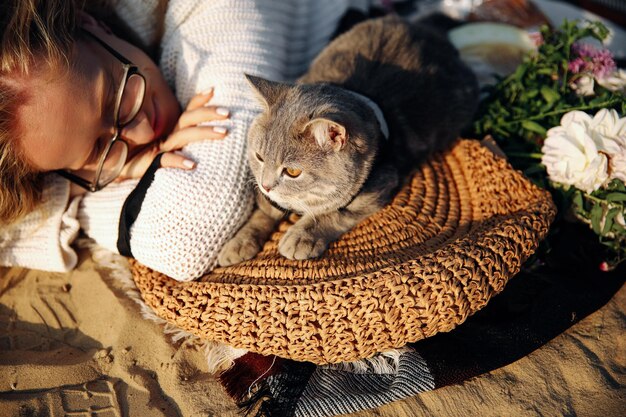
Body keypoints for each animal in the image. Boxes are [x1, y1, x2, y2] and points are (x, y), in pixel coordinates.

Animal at [217, 15, 476, 266]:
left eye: (292, 172)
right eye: (259, 157)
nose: (266, 185)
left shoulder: (378, 188)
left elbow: (334, 214)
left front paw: (302, 235)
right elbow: (264, 212)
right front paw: (239, 241)